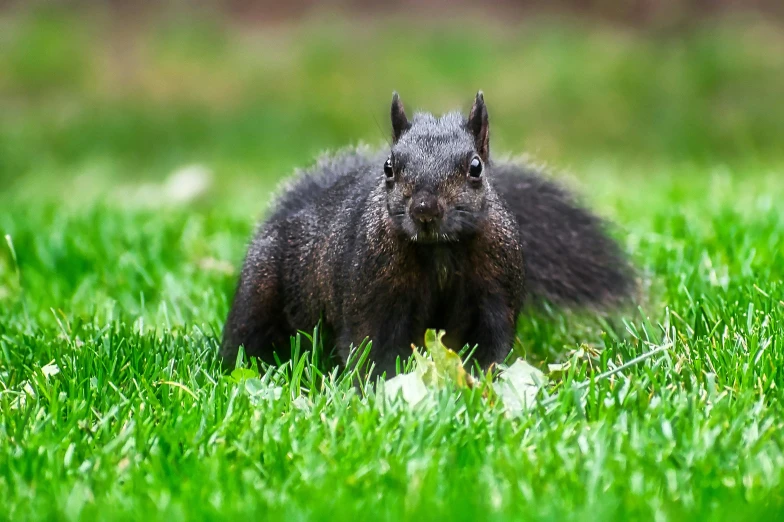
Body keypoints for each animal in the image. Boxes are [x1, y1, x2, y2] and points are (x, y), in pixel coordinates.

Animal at [219, 91, 632, 372]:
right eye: (389, 167)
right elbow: (370, 349)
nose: (425, 209)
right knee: (246, 336)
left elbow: (491, 346)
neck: (439, 251)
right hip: (259, 286)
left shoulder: (495, 291)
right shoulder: (372, 295)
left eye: (476, 167)